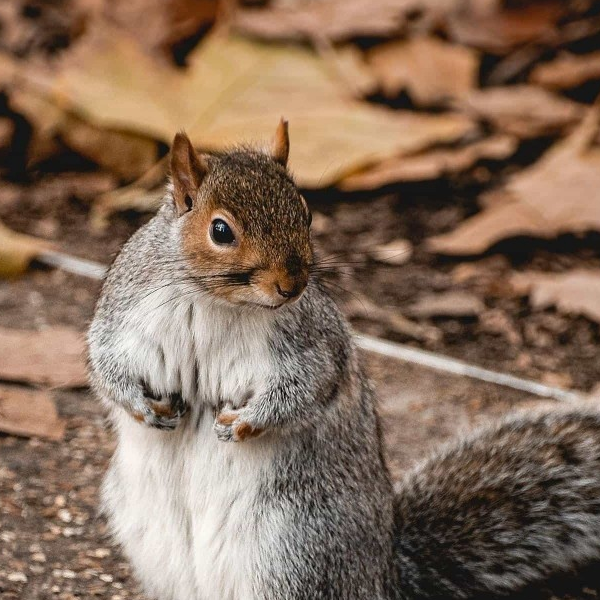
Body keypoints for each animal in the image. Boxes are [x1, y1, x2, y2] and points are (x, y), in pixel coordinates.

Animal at [88, 120, 600, 600]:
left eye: (307, 213)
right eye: (220, 230)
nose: (291, 286)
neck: (218, 302)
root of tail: (383, 576)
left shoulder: (310, 345)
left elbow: (306, 389)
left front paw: (244, 423)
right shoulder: (125, 315)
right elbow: (104, 363)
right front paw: (142, 407)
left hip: (293, 552)